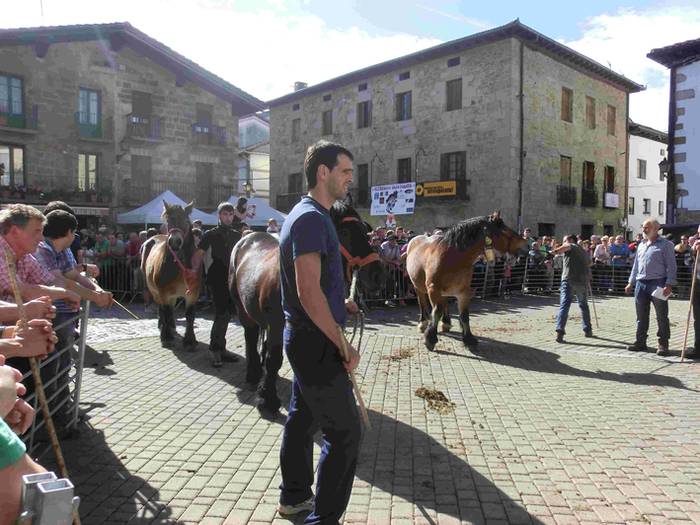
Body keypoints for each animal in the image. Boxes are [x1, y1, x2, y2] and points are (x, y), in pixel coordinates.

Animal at [140, 201, 200, 348]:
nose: (175, 242)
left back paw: (172, 326)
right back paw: (163, 327)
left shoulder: (193, 293)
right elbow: (166, 311)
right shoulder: (163, 292)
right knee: (162, 308)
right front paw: (166, 337)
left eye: (186, 221)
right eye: (168, 221)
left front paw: (190, 340)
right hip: (155, 291)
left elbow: (190, 315)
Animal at [228, 199, 382, 412]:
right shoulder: (276, 325)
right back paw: (253, 375)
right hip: (242, 309)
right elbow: (274, 359)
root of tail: (247, 237)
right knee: (250, 338)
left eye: (365, 230)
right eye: (344, 232)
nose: (378, 275)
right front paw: (268, 400)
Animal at [404, 210, 524, 352]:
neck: (453, 258)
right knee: (422, 302)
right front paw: (430, 339)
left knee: (444, 302)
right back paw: (423, 323)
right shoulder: (433, 289)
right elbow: (436, 311)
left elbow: (464, 315)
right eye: (506, 232)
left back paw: (446, 322)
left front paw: (469, 339)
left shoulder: (463, 291)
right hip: (418, 287)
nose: (523, 249)